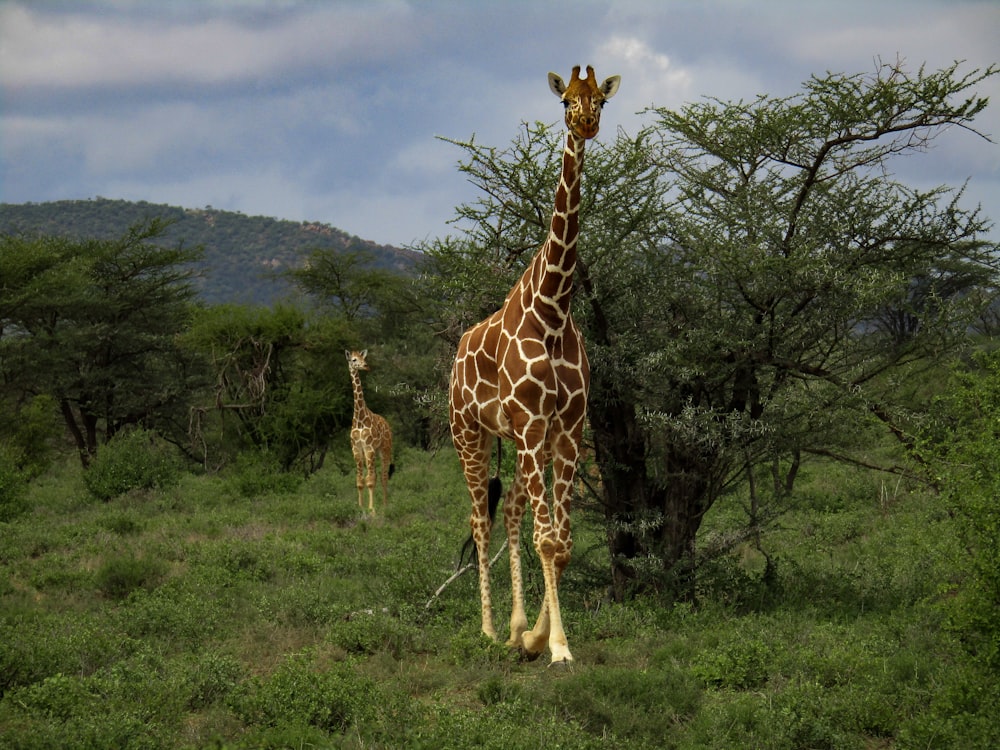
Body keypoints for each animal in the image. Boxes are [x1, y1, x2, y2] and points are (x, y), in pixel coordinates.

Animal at [344, 350, 390, 516]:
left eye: (363, 358)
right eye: (353, 359)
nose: (366, 366)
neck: (359, 418)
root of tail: (386, 422)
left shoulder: (368, 447)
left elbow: (370, 480)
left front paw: (372, 509)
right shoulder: (357, 449)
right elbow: (360, 480)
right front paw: (360, 507)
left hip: (384, 449)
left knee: (383, 476)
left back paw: (385, 505)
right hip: (372, 452)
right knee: (375, 475)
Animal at [448, 63, 616, 664]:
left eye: (601, 101)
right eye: (566, 101)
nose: (585, 123)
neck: (553, 306)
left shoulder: (565, 427)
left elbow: (560, 541)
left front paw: (539, 636)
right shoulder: (528, 423)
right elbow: (548, 537)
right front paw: (558, 647)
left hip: (518, 441)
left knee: (514, 514)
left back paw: (516, 627)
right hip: (469, 434)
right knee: (480, 519)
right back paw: (487, 629)